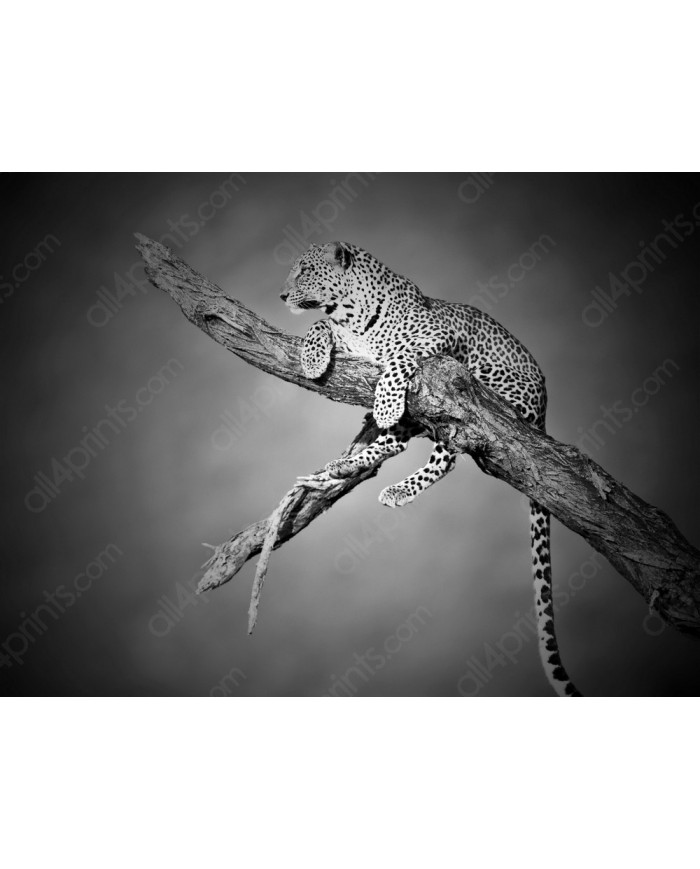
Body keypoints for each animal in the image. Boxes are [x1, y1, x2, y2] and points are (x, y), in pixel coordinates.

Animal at [280, 240, 580, 698]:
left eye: (304, 270)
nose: (281, 294)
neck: (350, 314)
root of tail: (544, 412)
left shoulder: (437, 337)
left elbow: (399, 355)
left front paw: (385, 400)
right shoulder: (347, 340)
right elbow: (318, 325)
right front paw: (313, 360)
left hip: (470, 390)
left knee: (448, 454)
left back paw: (397, 486)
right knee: (395, 442)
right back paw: (344, 464)